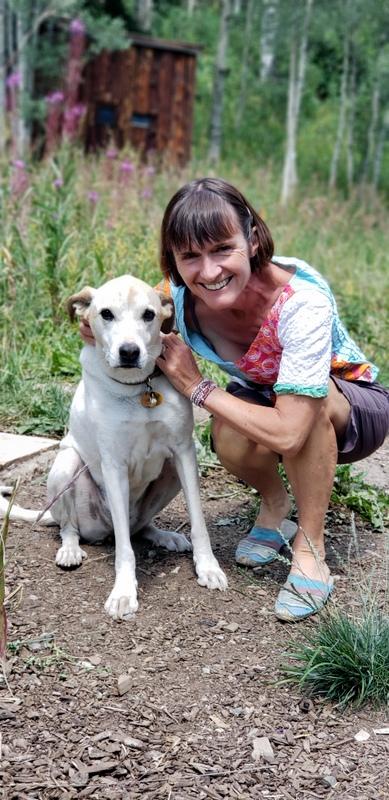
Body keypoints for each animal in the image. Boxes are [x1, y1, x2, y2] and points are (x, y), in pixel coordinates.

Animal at [0, 276, 226, 620]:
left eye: (149, 315)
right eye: (106, 313)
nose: (130, 352)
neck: (140, 390)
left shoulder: (184, 453)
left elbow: (199, 523)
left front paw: (208, 568)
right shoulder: (114, 465)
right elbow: (124, 551)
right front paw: (123, 593)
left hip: (169, 475)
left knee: (138, 528)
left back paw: (164, 536)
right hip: (66, 465)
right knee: (72, 527)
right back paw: (70, 549)